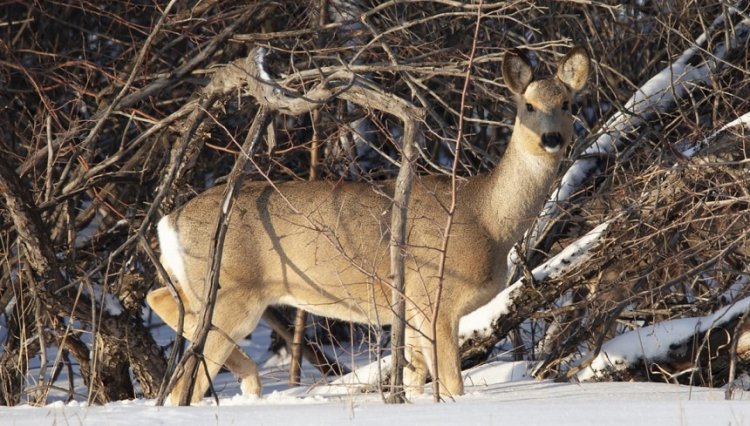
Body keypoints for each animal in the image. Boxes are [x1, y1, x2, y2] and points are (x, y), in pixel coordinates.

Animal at [147, 45, 592, 404]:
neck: (485, 218)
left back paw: (250, 379)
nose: (552, 139)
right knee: (185, 381)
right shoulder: (436, 298)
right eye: (528, 106)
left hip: (202, 285)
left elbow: (415, 378)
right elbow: (452, 385)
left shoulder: (411, 311)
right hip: (233, 289)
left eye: (568, 104)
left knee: (160, 299)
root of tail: (169, 220)